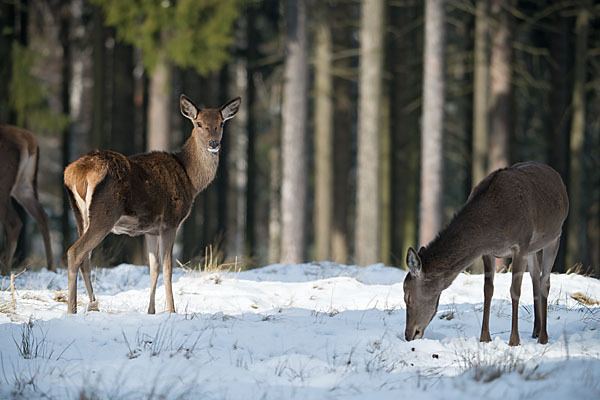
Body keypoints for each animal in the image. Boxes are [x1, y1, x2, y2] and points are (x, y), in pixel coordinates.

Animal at [0, 125, 54, 276]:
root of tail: (29, 141)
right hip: (24, 184)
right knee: (42, 215)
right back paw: (51, 267)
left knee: (14, 222)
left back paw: (5, 269)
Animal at [61, 94, 239, 312]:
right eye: (198, 123)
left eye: (221, 123)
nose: (214, 143)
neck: (191, 179)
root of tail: (75, 173)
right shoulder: (170, 222)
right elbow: (168, 268)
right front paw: (171, 310)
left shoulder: (150, 230)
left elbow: (153, 268)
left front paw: (151, 311)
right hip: (105, 213)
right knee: (75, 252)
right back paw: (72, 309)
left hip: (80, 215)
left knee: (85, 257)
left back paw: (93, 305)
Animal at [404, 161, 568, 346]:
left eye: (407, 296)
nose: (409, 335)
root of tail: (557, 177)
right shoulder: (488, 252)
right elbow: (487, 290)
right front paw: (484, 338)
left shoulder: (521, 245)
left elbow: (515, 290)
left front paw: (514, 340)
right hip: (534, 248)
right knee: (535, 278)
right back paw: (535, 330)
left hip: (555, 236)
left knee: (544, 281)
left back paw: (543, 337)